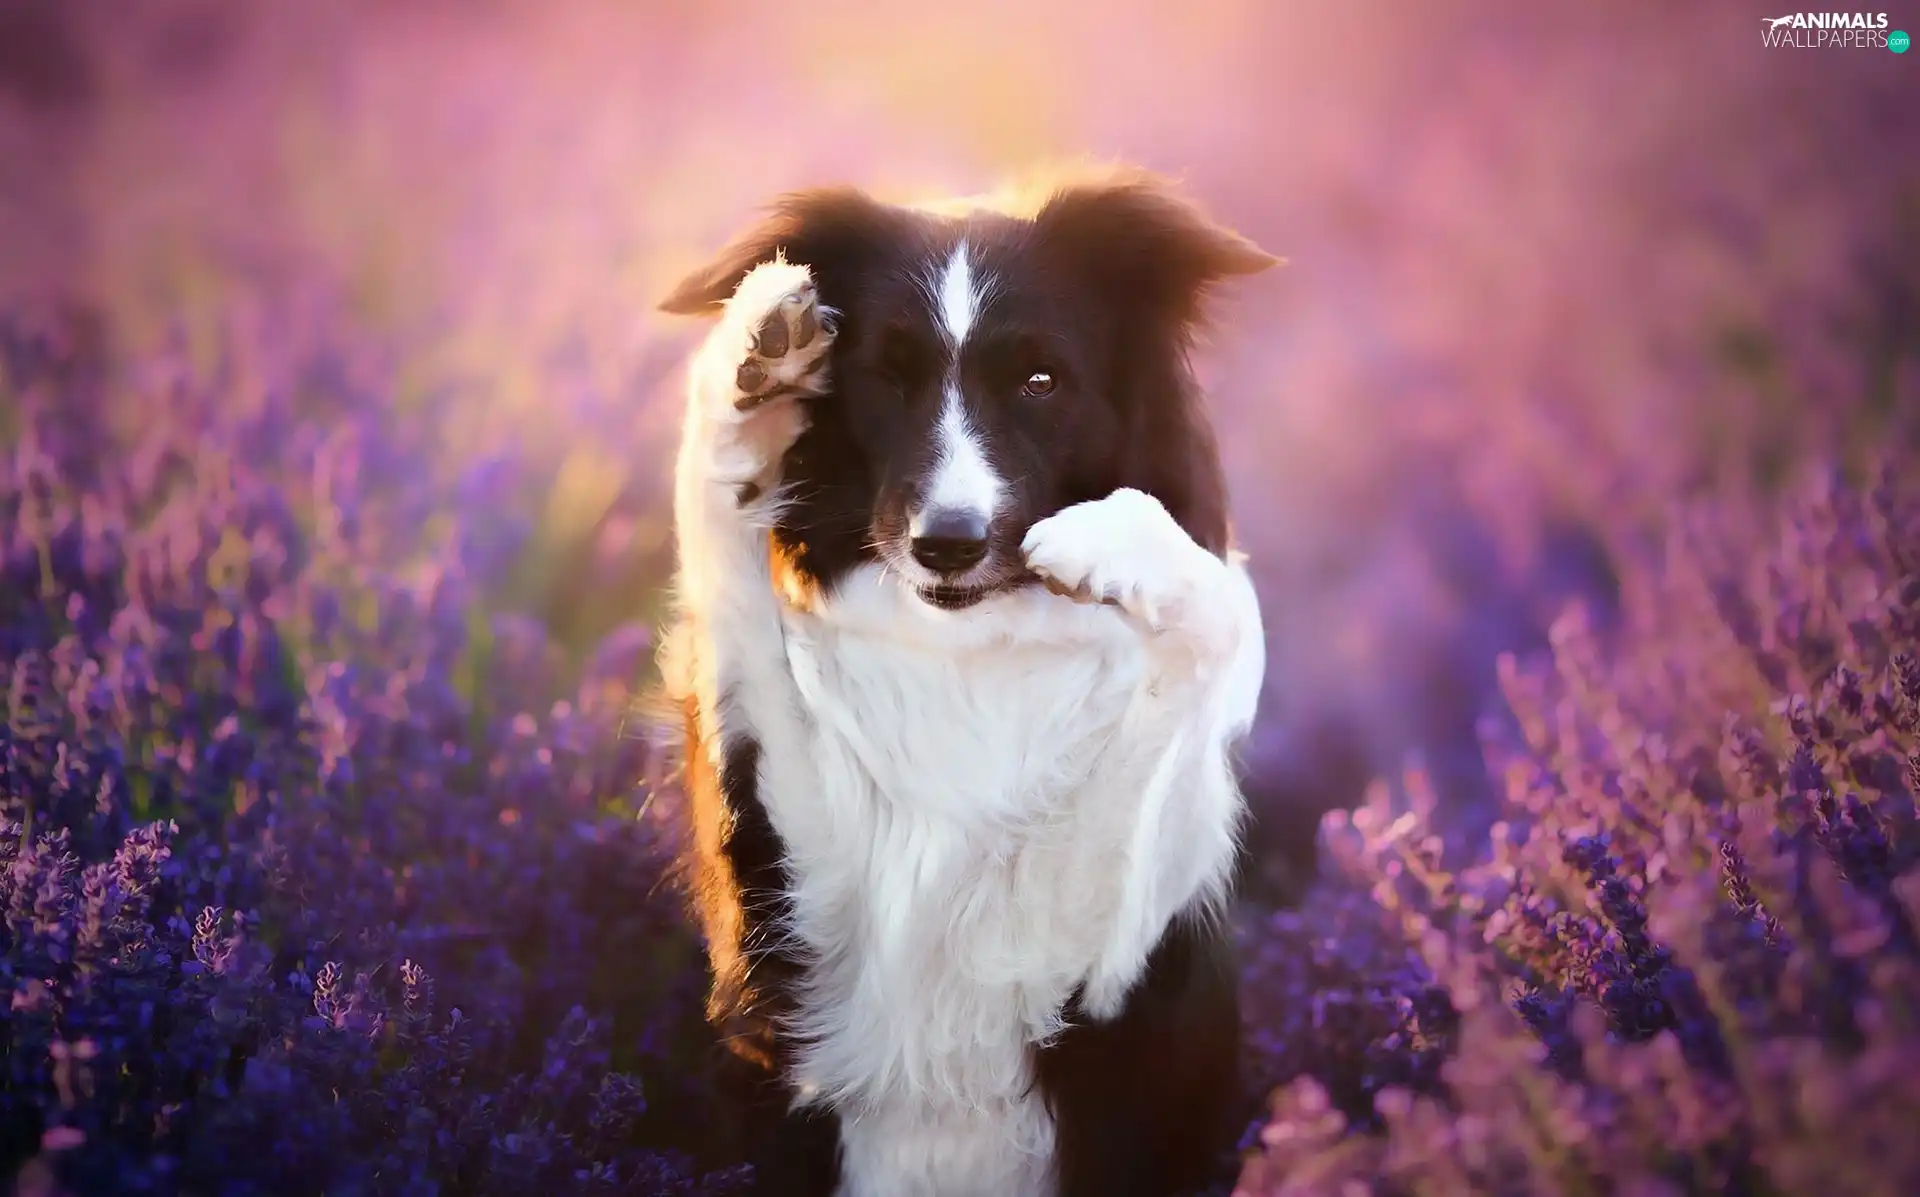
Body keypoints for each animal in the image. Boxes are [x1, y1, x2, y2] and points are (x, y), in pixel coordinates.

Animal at [656, 161, 1274, 1197]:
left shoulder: (1113, 970)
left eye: (1040, 381)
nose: (948, 543)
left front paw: (1115, 537)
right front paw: (757, 361)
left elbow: (1219, 615)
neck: (972, 656)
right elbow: (729, 585)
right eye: (887, 378)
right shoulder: (793, 906)